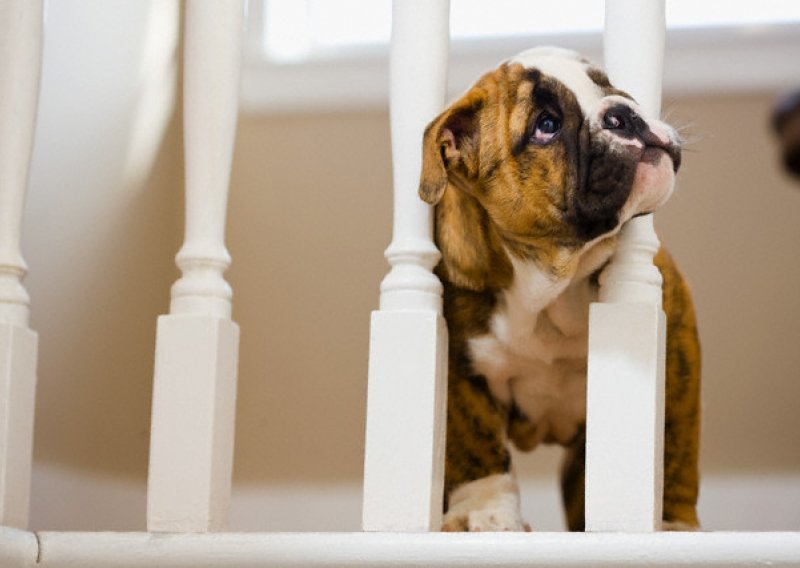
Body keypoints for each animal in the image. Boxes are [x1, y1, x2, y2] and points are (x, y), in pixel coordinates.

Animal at [418, 47, 700, 532]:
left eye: (607, 86)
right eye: (546, 125)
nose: (622, 114)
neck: (551, 280)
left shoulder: (676, 351)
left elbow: (671, 445)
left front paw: (671, 524)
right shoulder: (460, 370)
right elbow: (478, 451)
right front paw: (488, 514)